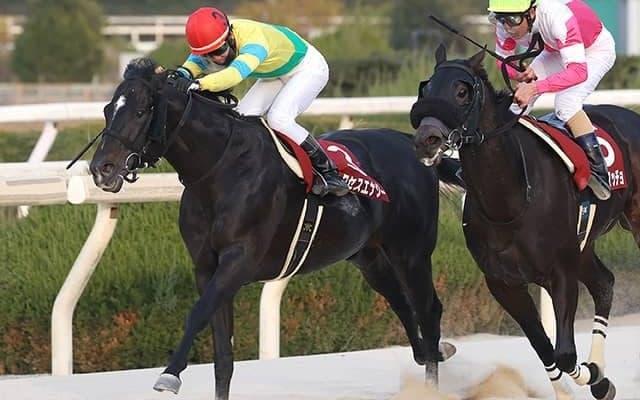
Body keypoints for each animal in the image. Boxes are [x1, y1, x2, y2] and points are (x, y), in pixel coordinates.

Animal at [87, 57, 459, 399]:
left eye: (141, 111)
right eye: (107, 110)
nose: (102, 169)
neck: (220, 169)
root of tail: (410, 142)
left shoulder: (238, 261)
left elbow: (196, 314)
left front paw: (170, 374)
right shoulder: (207, 267)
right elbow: (223, 356)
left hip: (412, 251)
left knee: (428, 310)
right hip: (368, 256)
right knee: (402, 304)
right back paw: (429, 353)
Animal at [410, 45, 640, 400]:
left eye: (462, 92)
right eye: (426, 89)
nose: (427, 139)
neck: (510, 201)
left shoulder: (560, 272)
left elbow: (564, 353)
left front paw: (591, 375)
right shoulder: (504, 283)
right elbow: (546, 350)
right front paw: (596, 380)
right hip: (583, 245)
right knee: (604, 283)